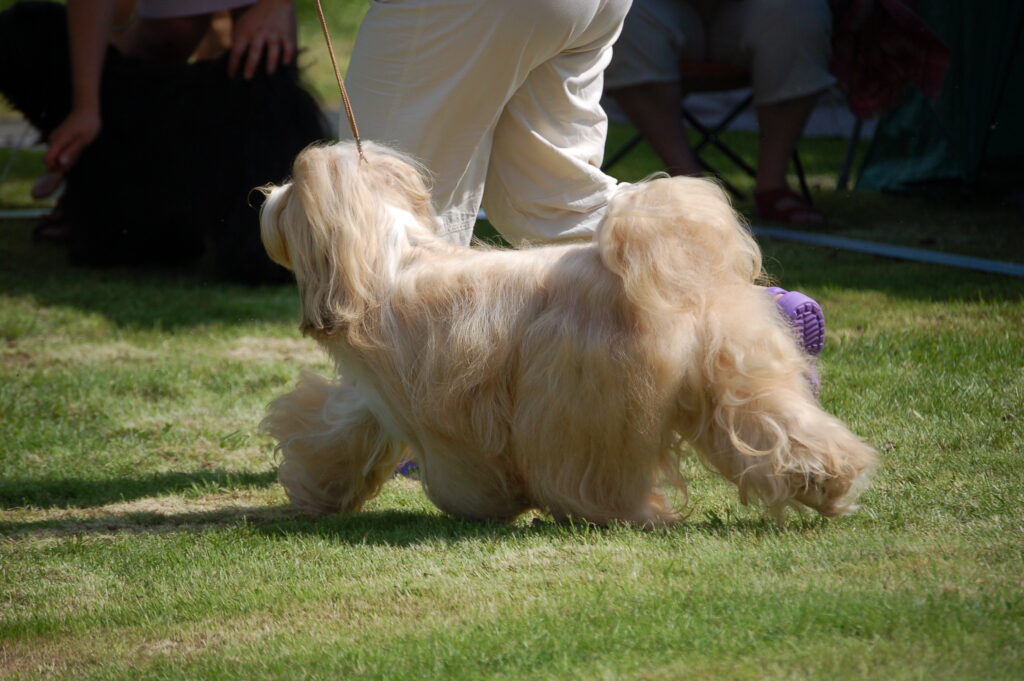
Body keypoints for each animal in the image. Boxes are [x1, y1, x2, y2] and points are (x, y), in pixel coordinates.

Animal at [260, 140, 876, 522]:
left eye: (290, 193)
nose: (265, 196)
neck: (388, 255)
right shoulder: (375, 395)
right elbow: (342, 429)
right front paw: (320, 487)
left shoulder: (432, 398)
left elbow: (457, 459)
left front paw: (483, 502)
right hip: (736, 372)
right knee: (774, 423)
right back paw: (828, 480)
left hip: (582, 395)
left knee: (592, 471)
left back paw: (615, 512)